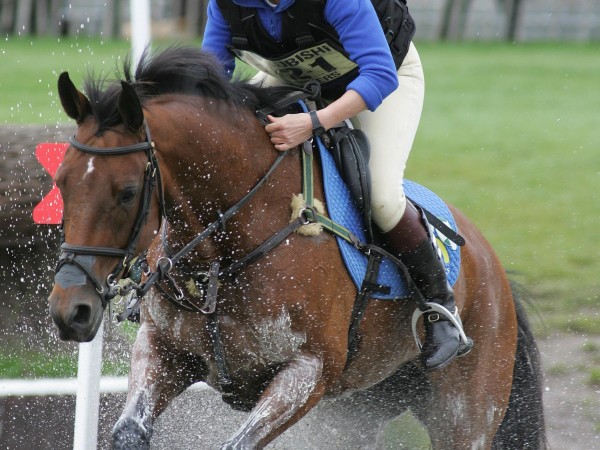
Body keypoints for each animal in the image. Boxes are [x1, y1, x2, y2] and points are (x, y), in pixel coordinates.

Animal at [45, 46, 544, 450]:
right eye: (61, 182)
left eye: (127, 192)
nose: (72, 311)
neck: (227, 248)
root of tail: (491, 266)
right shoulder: (165, 351)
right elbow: (129, 431)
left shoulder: (307, 374)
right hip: (360, 410)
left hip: (464, 414)